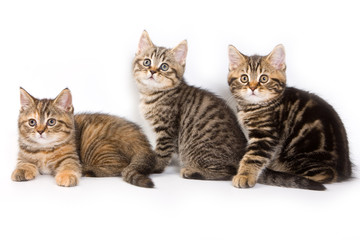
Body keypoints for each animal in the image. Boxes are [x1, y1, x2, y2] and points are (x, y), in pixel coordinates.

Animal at [10, 88, 155, 188]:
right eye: (32, 122)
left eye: (51, 122)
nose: (40, 131)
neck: (44, 149)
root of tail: (141, 139)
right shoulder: (23, 156)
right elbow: (24, 163)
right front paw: (21, 171)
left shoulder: (71, 157)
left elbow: (69, 165)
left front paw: (67, 175)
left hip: (96, 144)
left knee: (120, 166)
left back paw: (88, 169)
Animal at [132, 30, 248, 180]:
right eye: (147, 62)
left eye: (164, 66)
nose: (152, 71)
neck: (151, 94)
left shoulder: (167, 130)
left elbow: (162, 153)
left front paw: (154, 167)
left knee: (228, 171)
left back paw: (193, 171)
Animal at [228, 44, 352, 190]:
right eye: (244, 78)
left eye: (264, 78)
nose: (252, 88)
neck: (253, 107)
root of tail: (345, 170)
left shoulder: (266, 134)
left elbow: (253, 156)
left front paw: (245, 175)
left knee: (327, 174)